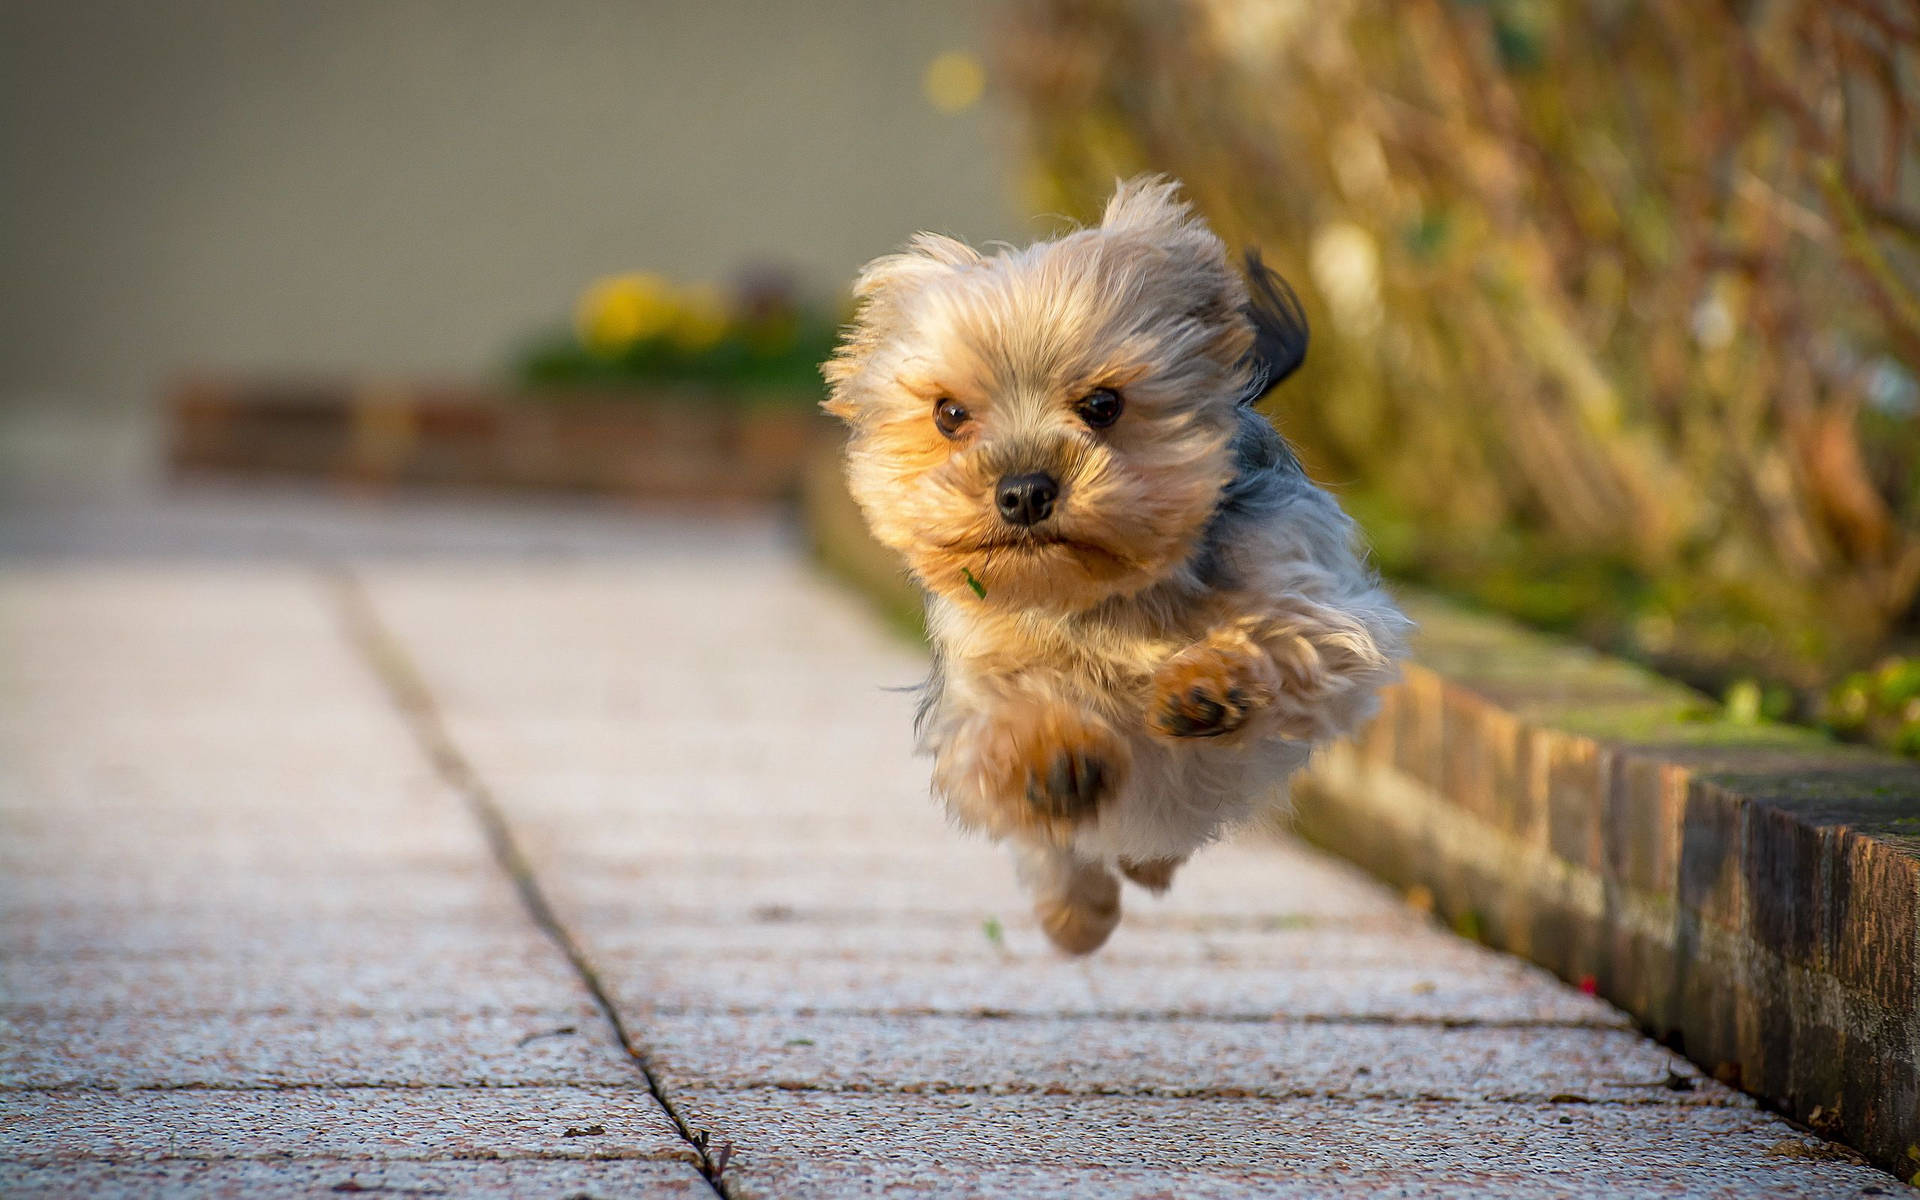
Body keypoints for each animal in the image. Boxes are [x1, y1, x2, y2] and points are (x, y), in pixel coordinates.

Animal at [825, 177, 1413, 956]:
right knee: (1063, 856)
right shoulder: (978, 680)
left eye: (1103, 404)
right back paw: (1077, 914)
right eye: (949, 415)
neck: (1107, 596)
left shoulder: (1325, 606)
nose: (1023, 491)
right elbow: (1003, 718)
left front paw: (1208, 684)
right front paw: (1052, 754)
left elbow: (1291, 632)